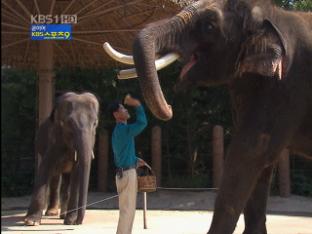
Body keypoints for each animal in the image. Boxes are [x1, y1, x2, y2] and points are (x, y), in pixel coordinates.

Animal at [24, 91, 99, 225]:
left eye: (95, 123)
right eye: (69, 123)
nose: (78, 222)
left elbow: (77, 174)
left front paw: (70, 221)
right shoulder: (54, 140)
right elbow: (44, 168)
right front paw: (31, 222)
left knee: (66, 180)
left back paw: (62, 215)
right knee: (55, 178)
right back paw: (52, 213)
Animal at [105, 0, 312, 234]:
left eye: (210, 26)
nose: (170, 107)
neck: (271, 14)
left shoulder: (285, 87)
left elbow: (250, 152)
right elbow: (261, 164)